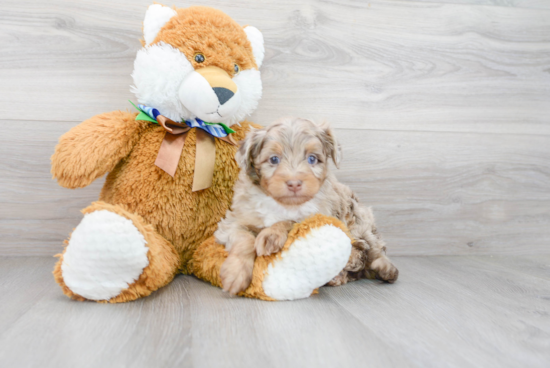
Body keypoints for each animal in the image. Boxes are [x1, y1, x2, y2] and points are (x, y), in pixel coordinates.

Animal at [213, 118, 398, 296]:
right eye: (274, 159)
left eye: (312, 159)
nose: (294, 183)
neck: (283, 203)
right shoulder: (234, 221)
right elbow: (244, 239)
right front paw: (235, 273)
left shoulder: (317, 215)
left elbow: (291, 221)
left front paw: (271, 235)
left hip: (361, 222)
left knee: (372, 252)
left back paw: (385, 269)